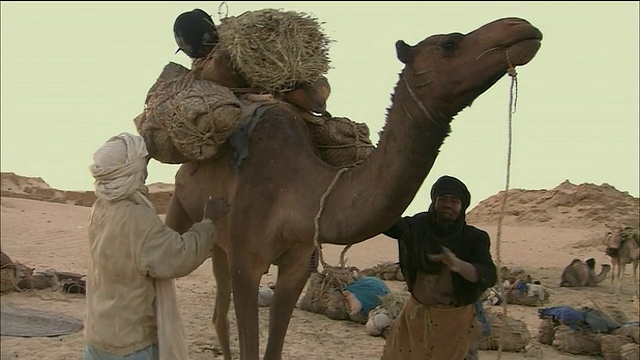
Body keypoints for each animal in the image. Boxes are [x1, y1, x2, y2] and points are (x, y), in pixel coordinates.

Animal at [162, 17, 544, 360]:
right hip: (180, 204)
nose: (522, 27)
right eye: (450, 43)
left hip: (219, 243)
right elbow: (251, 347)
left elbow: (273, 347)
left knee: (217, 313)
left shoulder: (297, 265)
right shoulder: (247, 263)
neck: (298, 190)